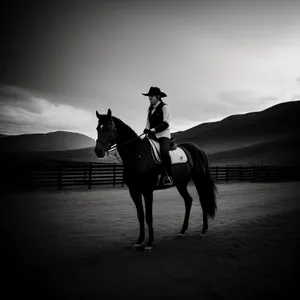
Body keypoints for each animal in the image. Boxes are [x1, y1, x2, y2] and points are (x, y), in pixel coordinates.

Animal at [94, 108, 218, 251]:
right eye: (98, 128)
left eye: (108, 128)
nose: (98, 151)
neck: (137, 155)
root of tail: (198, 149)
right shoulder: (134, 191)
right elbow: (140, 216)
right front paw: (139, 241)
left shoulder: (147, 191)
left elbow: (149, 217)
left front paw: (149, 243)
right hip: (181, 184)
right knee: (188, 201)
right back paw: (182, 230)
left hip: (199, 180)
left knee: (203, 201)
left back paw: (203, 230)